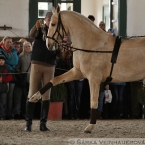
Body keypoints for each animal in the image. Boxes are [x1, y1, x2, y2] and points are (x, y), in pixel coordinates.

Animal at [28, 5, 145, 133]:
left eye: (53, 24)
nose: (49, 45)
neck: (92, 45)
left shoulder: (94, 78)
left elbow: (93, 101)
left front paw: (90, 127)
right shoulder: (77, 72)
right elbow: (55, 80)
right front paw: (34, 97)